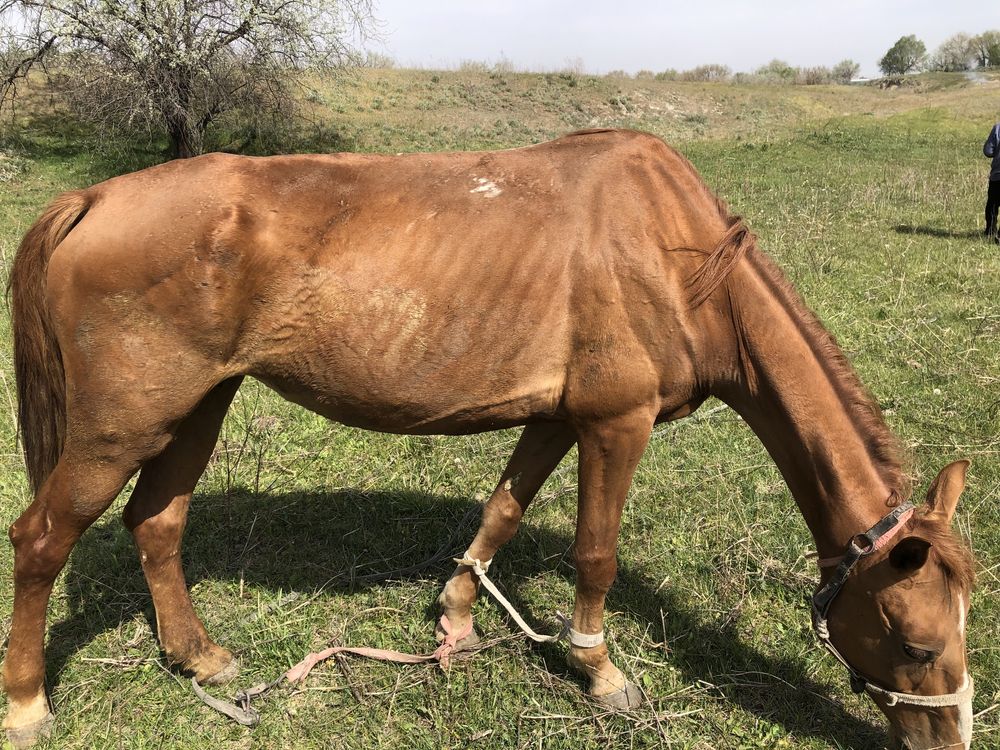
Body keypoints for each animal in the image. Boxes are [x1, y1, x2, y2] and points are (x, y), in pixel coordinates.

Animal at [3, 129, 972, 748]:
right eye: (918, 645)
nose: (950, 739)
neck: (679, 260)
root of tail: (93, 196)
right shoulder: (614, 425)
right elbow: (595, 556)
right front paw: (600, 672)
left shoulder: (553, 418)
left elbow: (501, 513)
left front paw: (457, 620)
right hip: (123, 425)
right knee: (43, 539)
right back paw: (27, 703)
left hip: (196, 407)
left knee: (156, 525)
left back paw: (199, 659)